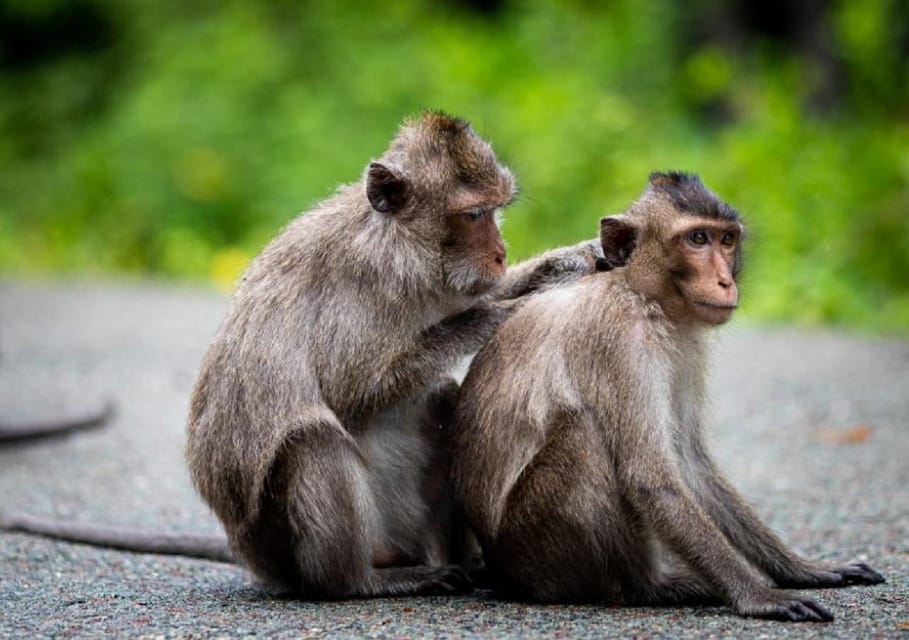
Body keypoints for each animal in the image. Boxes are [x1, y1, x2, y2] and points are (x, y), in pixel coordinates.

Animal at [3, 112, 604, 596]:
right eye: (475, 214)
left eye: (496, 211)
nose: (500, 252)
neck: (399, 250)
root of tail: (250, 557)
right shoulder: (357, 287)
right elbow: (352, 391)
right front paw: (498, 314)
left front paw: (567, 263)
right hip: (285, 546)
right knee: (311, 441)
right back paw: (361, 582)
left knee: (438, 401)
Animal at [450, 172, 884, 624]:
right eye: (697, 239)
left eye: (726, 240)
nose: (725, 281)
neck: (643, 297)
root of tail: (503, 571)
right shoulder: (620, 338)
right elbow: (651, 477)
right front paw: (759, 595)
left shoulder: (688, 344)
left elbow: (690, 462)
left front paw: (802, 568)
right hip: (537, 549)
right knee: (583, 433)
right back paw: (651, 587)